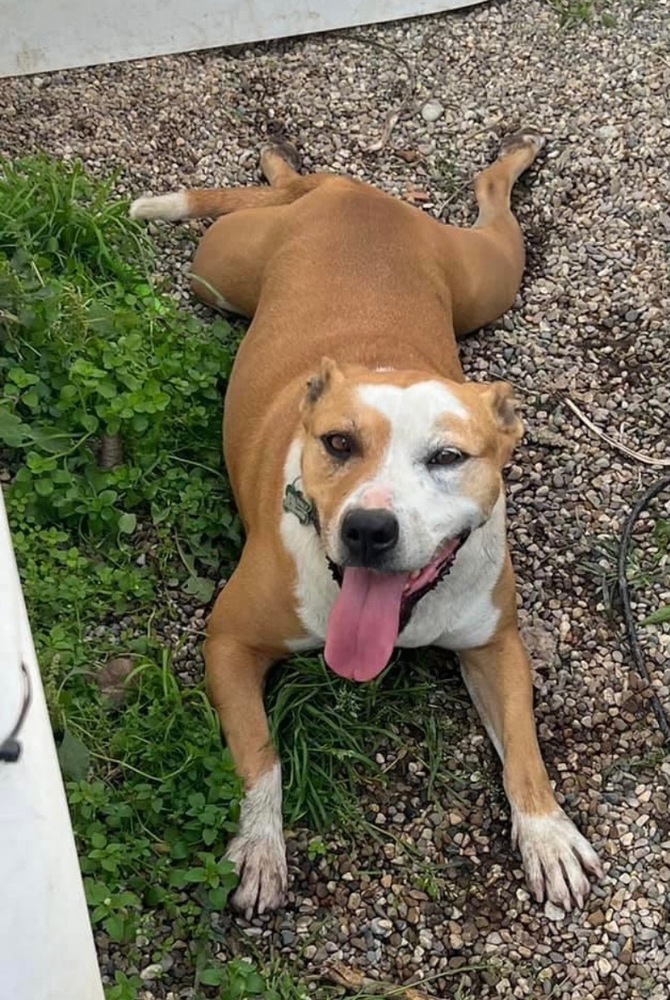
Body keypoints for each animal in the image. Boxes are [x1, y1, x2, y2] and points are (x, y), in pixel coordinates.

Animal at [131, 131, 604, 916]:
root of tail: (351, 192)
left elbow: (526, 748)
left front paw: (547, 833)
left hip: (487, 277)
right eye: (337, 443)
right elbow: (258, 756)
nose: (369, 530)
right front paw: (258, 847)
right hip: (216, 270)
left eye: (448, 457)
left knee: (490, 204)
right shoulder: (229, 641)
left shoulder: (496, 644)